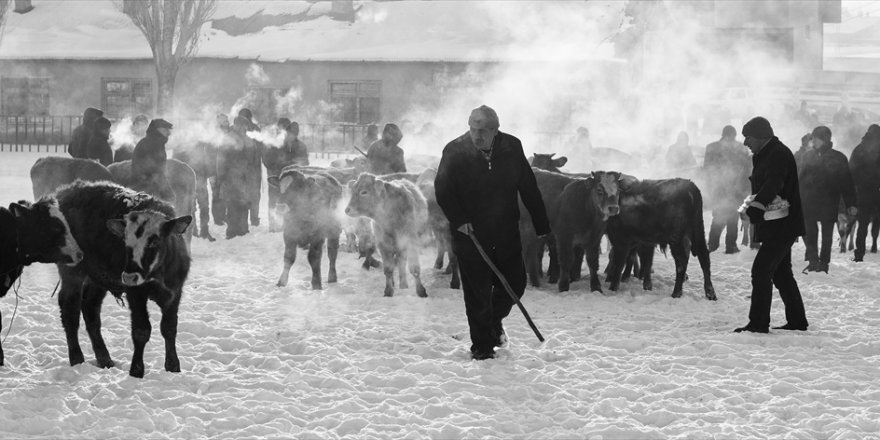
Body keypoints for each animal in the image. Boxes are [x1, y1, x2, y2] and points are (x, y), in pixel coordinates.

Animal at [51, 180, 191, 376]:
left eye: (154, 241)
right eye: (125, 242)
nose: (130, 276)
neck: (157, 274)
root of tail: (66, 192)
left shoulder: (174, 292)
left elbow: (169, 328)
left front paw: (173, 366)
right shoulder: (136, 294)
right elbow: (141, 330)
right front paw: (136, 370)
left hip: (97, 279)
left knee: (90, 310)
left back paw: (104, 358)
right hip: (72, 272)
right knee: (70, 311)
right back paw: (77, 358)